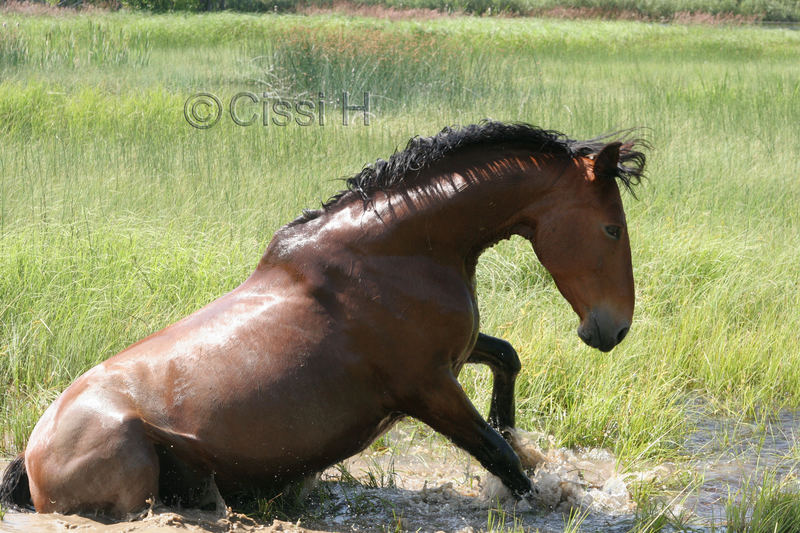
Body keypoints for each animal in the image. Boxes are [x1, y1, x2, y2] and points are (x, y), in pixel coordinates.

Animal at [0, 120, 648, 516]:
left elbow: (507, 363)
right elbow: (499, 458)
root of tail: (32, 456)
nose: (612, 330)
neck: (401, 251)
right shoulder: (427, 387)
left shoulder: (456, 357)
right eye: (612, 229)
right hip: (133, 471)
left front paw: (518, 433)